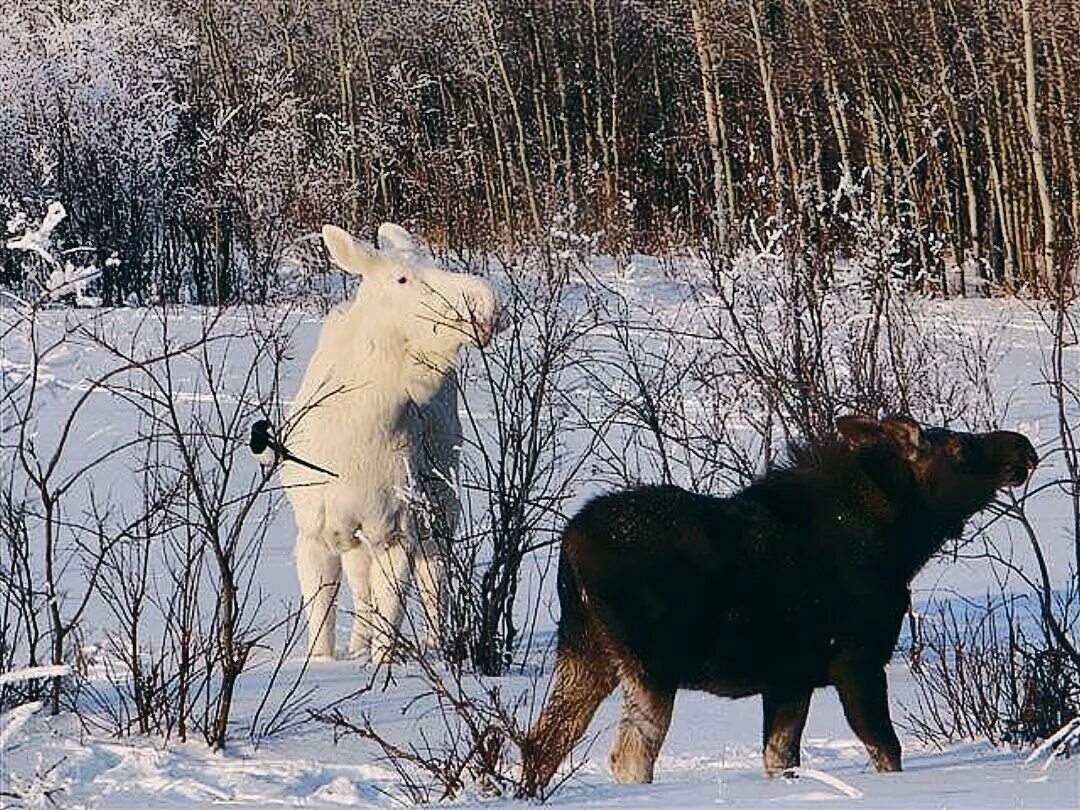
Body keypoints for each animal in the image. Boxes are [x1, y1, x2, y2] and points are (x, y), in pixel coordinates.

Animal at [278, 223, 496, 665]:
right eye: (401, 278)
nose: (486, 304)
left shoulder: (398, 530)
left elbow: (391, 621)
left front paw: (381, 663)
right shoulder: (314, 531)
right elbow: (322, 624)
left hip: (442, 509)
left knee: (435, 583)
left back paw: (437, 646)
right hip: (359, 537)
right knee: (363, 590)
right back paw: (358, 645)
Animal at [522, 414, 1036, 794]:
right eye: (961, 450)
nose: (1023, 447)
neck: (900, 546)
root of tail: (569, 547)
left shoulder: (790, 680)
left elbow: (781, 760)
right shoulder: (857, 663)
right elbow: (887, 751)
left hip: (584, 653)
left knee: (540, 743)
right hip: (650, 666)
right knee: (628, 756)